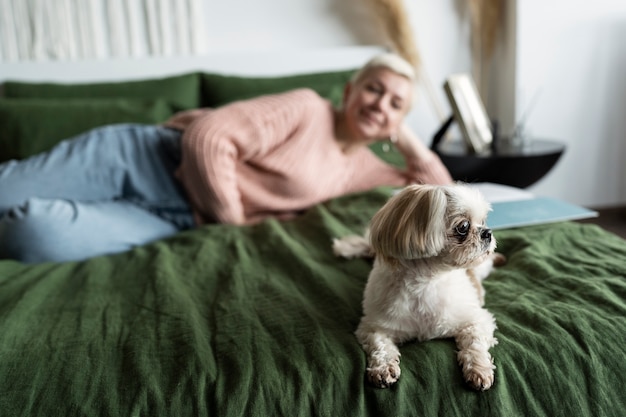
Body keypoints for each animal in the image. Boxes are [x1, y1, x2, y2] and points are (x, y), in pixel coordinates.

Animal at [332, 183, 502, 390]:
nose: (487, 232)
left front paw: (479, 369)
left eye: (483, 220)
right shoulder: (374, 326)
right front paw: (383, 368)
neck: (426, 283)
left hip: (481, 265)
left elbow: (475, 344)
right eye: (463, 227)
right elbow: (380, 345)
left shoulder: (475, 320)